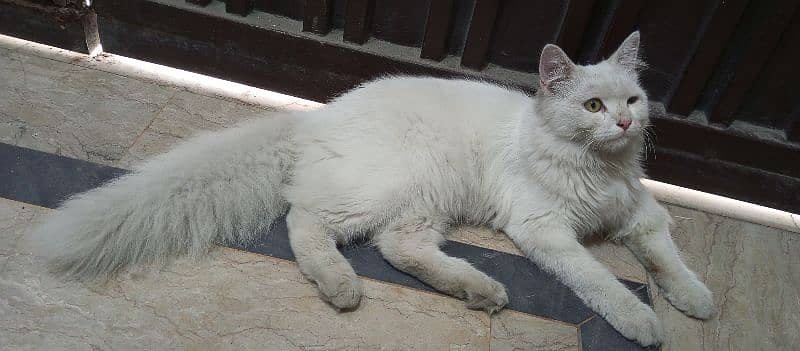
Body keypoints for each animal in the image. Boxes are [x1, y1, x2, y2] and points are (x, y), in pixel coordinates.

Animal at [34, 31, 716, 346]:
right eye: (593, 105)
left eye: (632, 101)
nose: (623, 123)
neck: (598, 167)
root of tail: (316, 118)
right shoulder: (544, 231)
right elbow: (602, 282)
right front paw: (642, 320)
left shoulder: (642, 214)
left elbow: (667, 260)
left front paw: (696, 301)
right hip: (391, 186)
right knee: (305, 221)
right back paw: (342, 287)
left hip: (425, 202)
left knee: (397, 248)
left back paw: (478, 289)